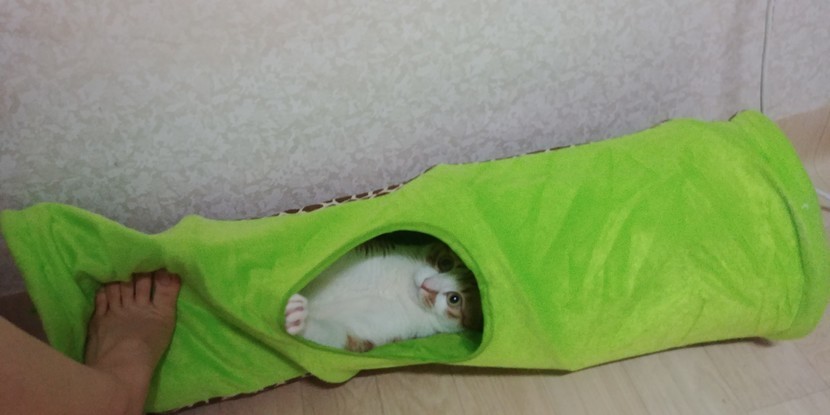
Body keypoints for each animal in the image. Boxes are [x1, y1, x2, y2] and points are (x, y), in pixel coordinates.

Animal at [284, 238, 483, 352]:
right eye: (446, 263)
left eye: (454, 299)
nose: (427, 285)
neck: (400, 290)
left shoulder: (377, 330)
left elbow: (333, 336)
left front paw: (298, 319)